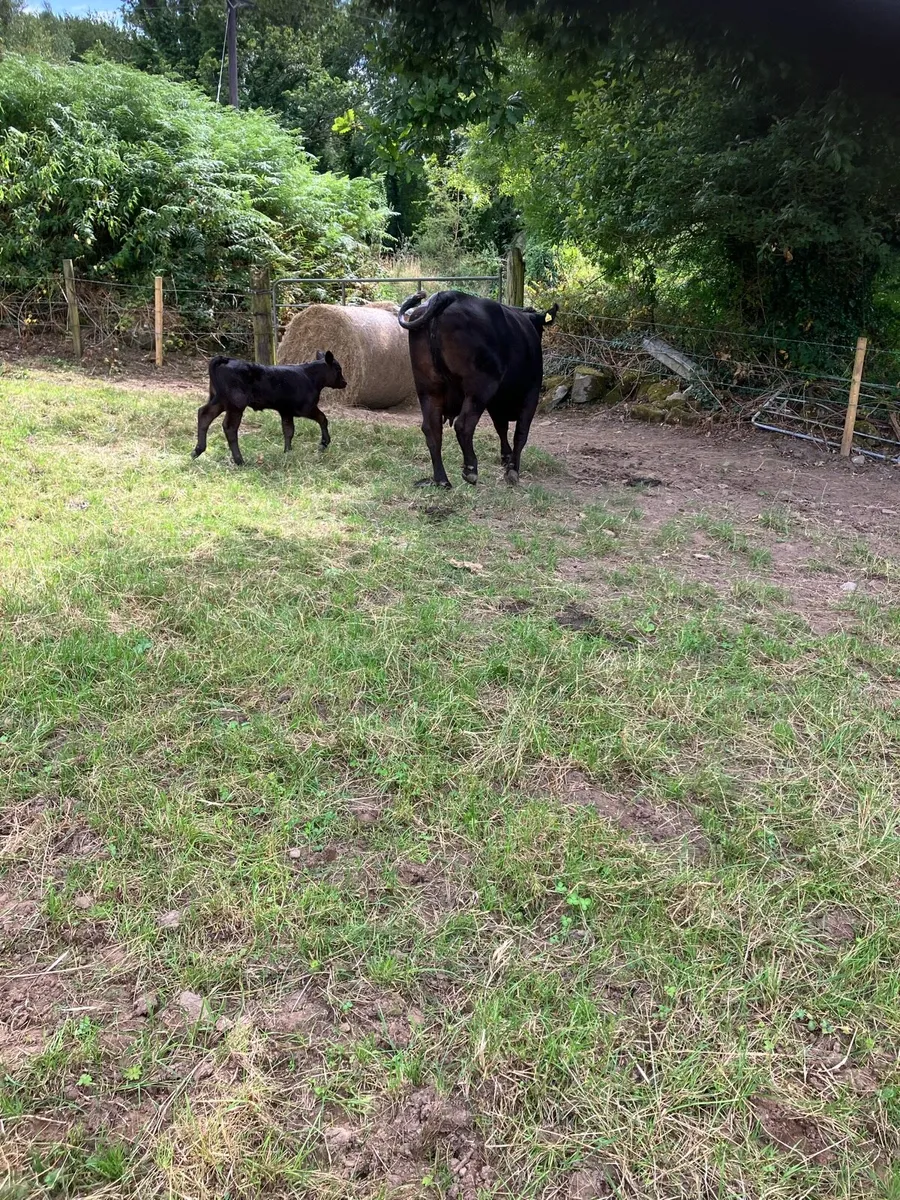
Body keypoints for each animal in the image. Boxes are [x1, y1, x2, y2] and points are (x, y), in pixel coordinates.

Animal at [191, 351, 348, 466]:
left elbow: (288, 431)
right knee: (229, 427)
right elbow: (323, 418)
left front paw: (287, 452)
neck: (311, 377)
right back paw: (240, 461)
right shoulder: (306, 408)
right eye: (338, 369)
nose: (345, 382)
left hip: (220, 401)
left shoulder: (286, 411)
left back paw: (197, 451)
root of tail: (226, 359)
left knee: (204, 414)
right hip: (236, 404)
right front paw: (324, 443)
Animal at [397, 290, 558, 487]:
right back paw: (470, 469)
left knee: (432, 429)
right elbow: (520, 433)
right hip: (479, 388)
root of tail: (448, 295)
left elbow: (501, 427)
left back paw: (442, 480)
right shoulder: (531, 394)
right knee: (463, 425)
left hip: (428, 388)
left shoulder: (497, 402)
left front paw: (506, 457)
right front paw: (512, 470)